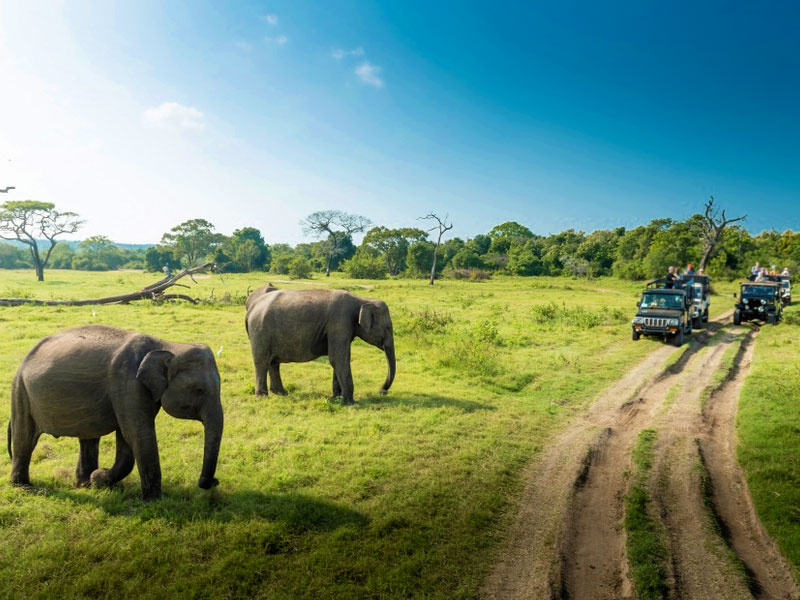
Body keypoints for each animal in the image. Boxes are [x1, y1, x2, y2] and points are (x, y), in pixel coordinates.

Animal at [7, 326, 223, 500]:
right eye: (199, 390)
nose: (214, 482)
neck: (167, 344)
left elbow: (126, 437)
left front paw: (98, 480)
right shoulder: (127, 382)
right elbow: (136, 434)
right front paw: (153, 501)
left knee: (88, 437)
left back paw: (83, 484)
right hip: (20, 390)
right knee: (24, 437)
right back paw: (23, 487)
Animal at [244, 284, 394, 406]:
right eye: (388, 328)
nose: (381, 391)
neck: (362, 300)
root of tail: (251, 307)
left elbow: (338, 359)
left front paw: (336, 398)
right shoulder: (340, 322)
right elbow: (338, 358)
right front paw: (350, 403)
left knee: (273, 362)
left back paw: (281, 393)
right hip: (260, 331)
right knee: (262, 361)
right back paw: (262, 397)